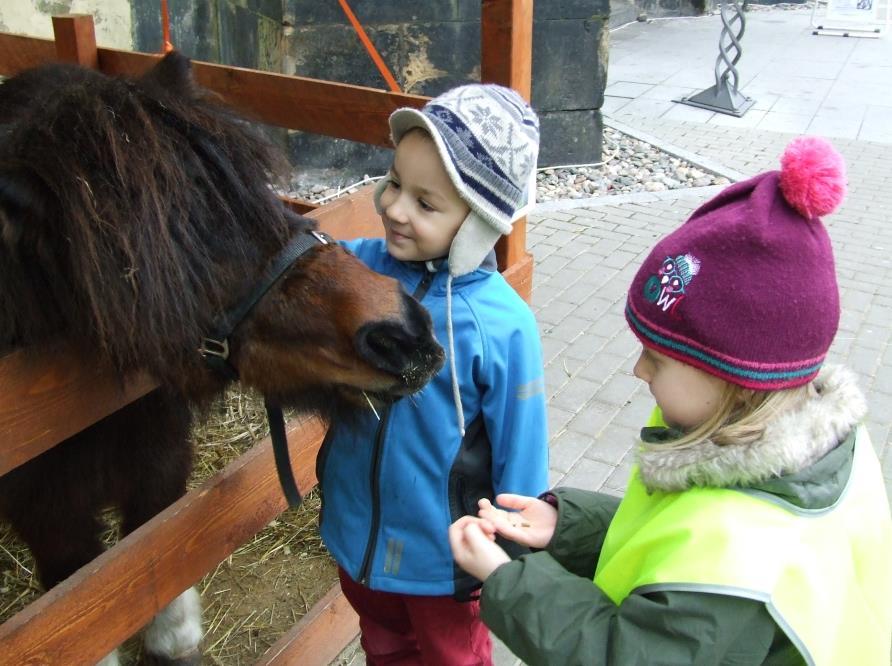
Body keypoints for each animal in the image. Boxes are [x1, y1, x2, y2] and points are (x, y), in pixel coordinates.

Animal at [0, 53, 444, 664]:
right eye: (141, 266)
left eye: (258, 191)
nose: (399, 332)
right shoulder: (46, 510)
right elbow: (82, 610)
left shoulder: (160, 448)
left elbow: (154, 541)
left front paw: (174, 637)